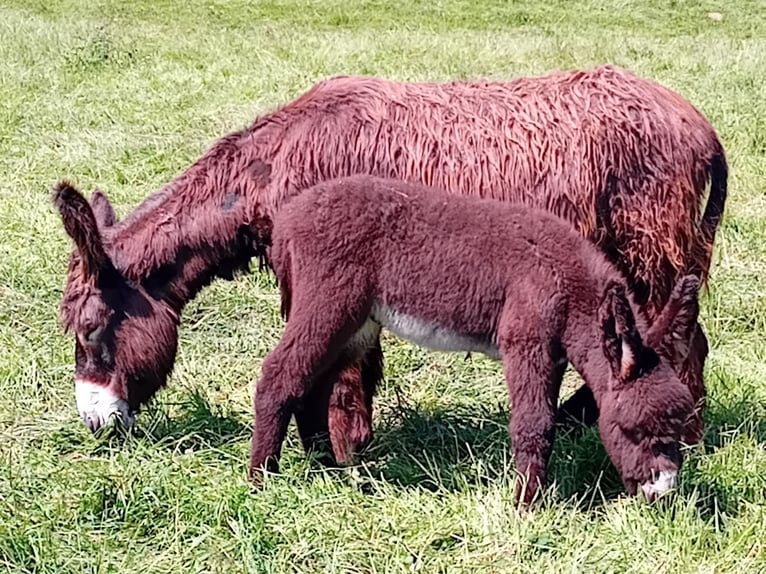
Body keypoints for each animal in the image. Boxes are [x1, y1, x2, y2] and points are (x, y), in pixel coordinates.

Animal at [254, 176, 704, 504]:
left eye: (677, 426)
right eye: (634, 429)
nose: (663, 494)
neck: (570, 284)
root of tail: (287, 218)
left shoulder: (554, 354)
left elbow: (546, 419)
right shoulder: (526, 340)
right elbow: (534, 424)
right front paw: (527, 508)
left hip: (356, 324)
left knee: (312, 388)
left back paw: (328, 471)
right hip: (329, 303)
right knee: (279, 377)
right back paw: (262, 480)